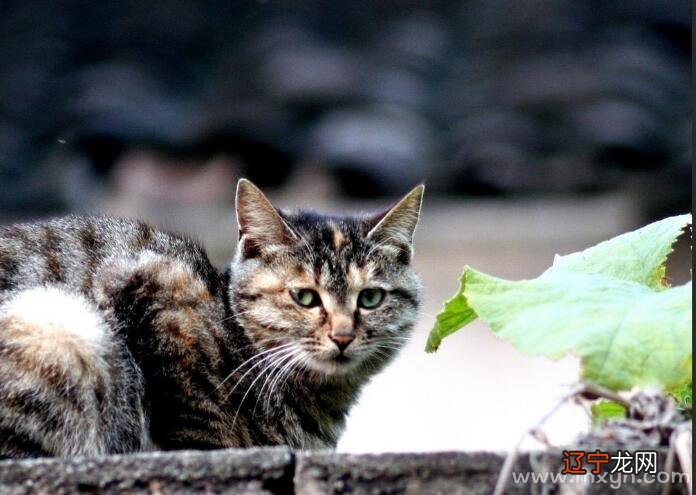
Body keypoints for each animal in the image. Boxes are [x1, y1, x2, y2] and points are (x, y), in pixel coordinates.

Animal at [0, 180, 424, 460]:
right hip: (62, 329)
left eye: (370, 298)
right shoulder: (157, 293)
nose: (343, 336)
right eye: (305, 297)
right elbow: (200, 426)